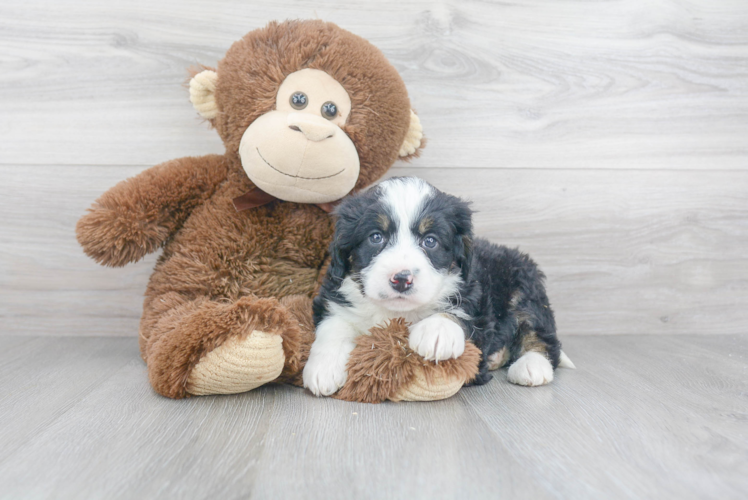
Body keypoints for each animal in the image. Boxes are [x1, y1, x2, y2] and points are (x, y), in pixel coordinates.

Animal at [300, 178, 576, 396]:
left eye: (430, 241)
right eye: (376, 237)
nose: (402, 279)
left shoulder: (473, 295)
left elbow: (458, 312)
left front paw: (437, 332)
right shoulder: (335, 297)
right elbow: (334, 325)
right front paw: (323, 368)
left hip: (524, 289)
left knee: (541, 336)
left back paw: (531, 366)